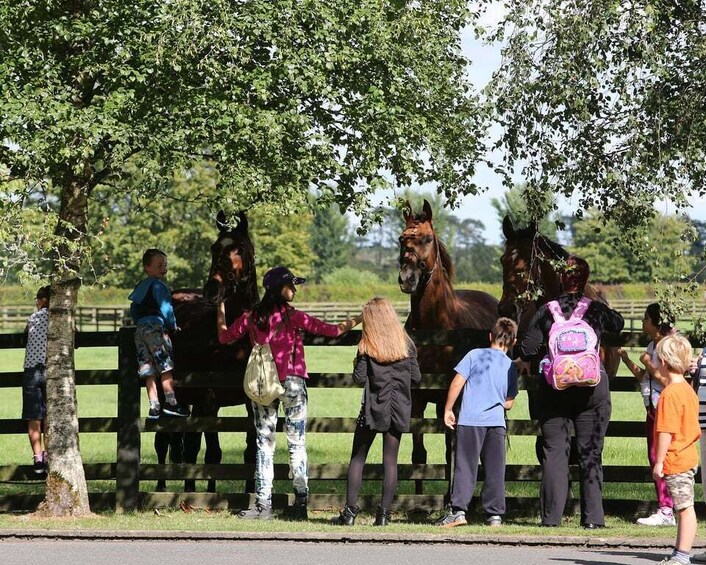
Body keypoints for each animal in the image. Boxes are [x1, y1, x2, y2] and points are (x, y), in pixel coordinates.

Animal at [155, 209, 260, 492]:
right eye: (214, 248)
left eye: (241, 249)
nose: (213, 289)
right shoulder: (210, 401)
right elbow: (212, 453)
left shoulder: (251, 402)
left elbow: (251, 452)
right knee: (166, 443)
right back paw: (164, 488)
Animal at [396, 200, 500, 470]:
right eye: (401, 239)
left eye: (427, 238)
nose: (407, 279)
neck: (434, 332)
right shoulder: (418, 400)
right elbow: (418, 455)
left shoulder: (448, 399)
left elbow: (450, 453)